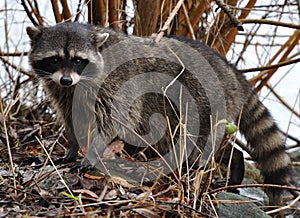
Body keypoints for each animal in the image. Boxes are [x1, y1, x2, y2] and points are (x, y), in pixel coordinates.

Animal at [27, 22, 292, 204]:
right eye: (54, 59)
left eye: (78, 60)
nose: (66, 80)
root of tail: (231, 71)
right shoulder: (65, 94)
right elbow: (70, 118)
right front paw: (72, 147)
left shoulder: (115, 84)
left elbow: (113, 121)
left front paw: (93, 151)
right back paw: (233, 160)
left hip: (204, 102)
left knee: (196, 142)